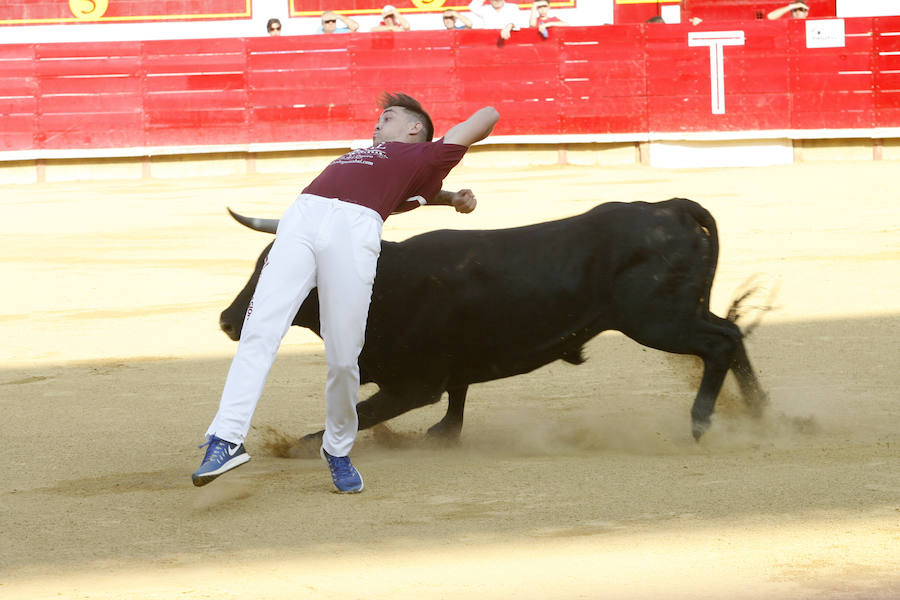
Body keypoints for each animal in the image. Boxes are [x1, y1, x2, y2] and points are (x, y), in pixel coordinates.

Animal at [220, 198, 768, 446]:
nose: (228, 321)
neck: (385, 281)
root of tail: (667, 207)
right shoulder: (446, 372)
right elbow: (456, 401)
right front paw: (442, 437)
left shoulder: (413, 384)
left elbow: (356, 417)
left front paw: (290, 448)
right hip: (680, 313)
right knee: (732, 335)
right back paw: (763, 413)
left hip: (658, 320)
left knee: (720, 343)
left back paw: (701, 422)